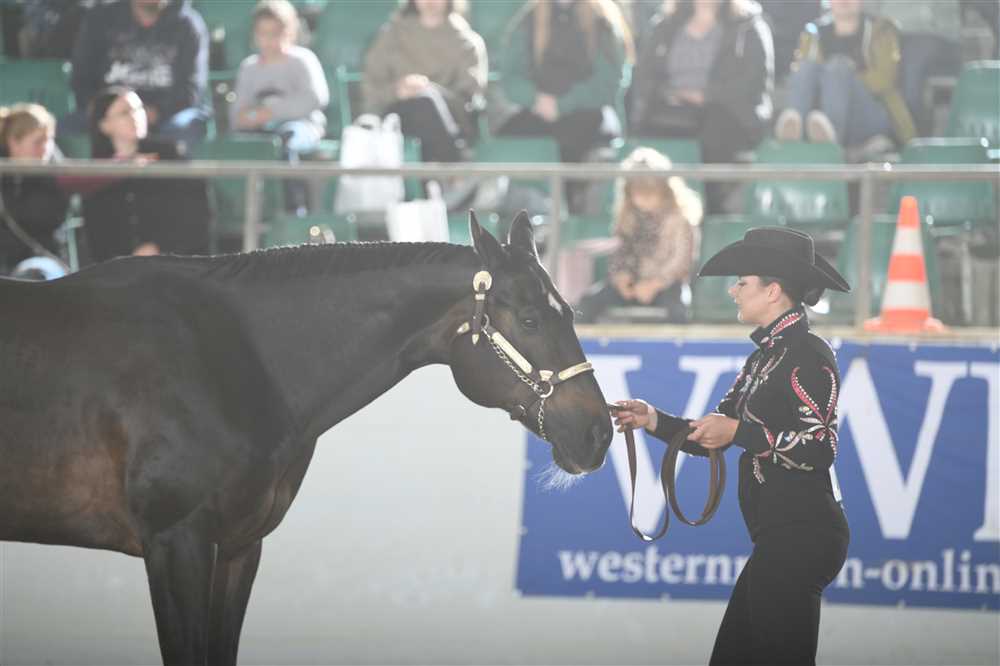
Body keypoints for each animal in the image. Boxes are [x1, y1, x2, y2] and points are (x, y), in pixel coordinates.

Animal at [0, 212, 613, 665]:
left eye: (570, 312)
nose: (599, 432)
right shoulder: (176, 544)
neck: (232, 357)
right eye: (530, 320)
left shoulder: (239, 546)